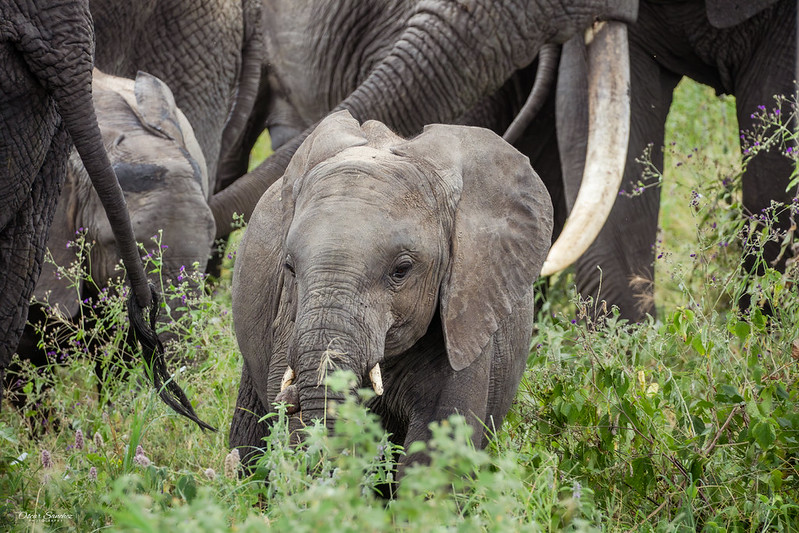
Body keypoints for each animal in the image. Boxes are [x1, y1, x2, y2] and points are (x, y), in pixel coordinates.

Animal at [228, 111, 554, 471]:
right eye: (289, 268)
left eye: (401, 270)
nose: (289, 399)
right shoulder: (288, 316)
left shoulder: (469, 308)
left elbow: (437, 451)